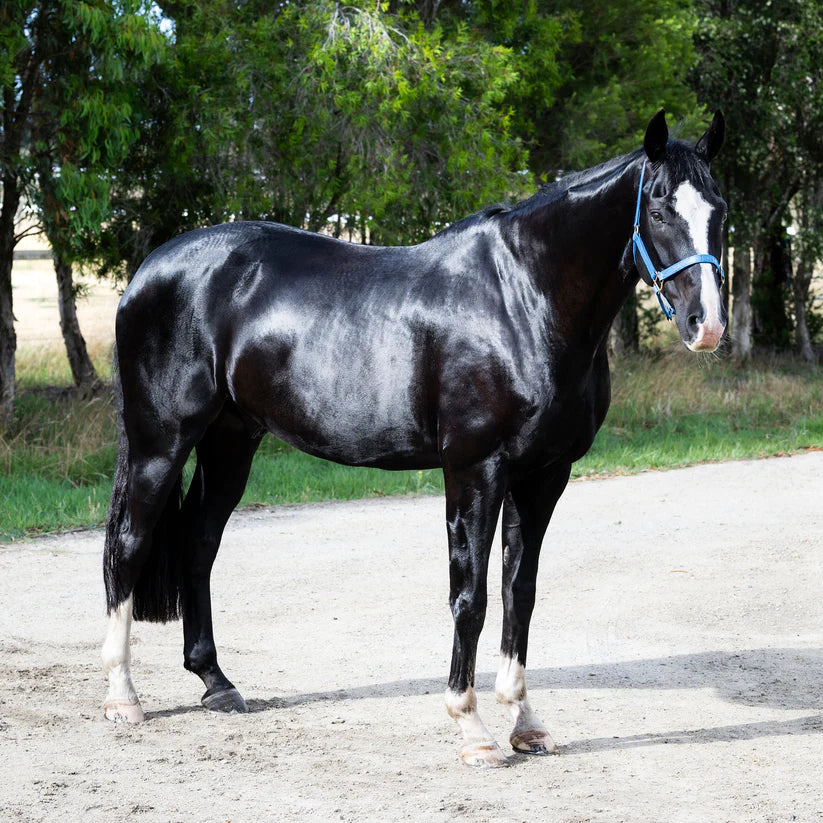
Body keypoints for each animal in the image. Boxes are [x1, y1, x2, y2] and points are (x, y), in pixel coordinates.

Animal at [101, 109, 727, 767]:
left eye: (719, 208)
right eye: (658, 208)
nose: (706, 325)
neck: (522, 301)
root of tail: (150, 270)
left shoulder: (544, 476)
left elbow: (520, 593)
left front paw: (525, 723)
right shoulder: (475, 469)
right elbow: (470, 596)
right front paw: (472, 728)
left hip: (230, 442)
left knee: (198, 544)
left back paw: (216, 683)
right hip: (160, 443)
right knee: (129, 545)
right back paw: (123, 696)